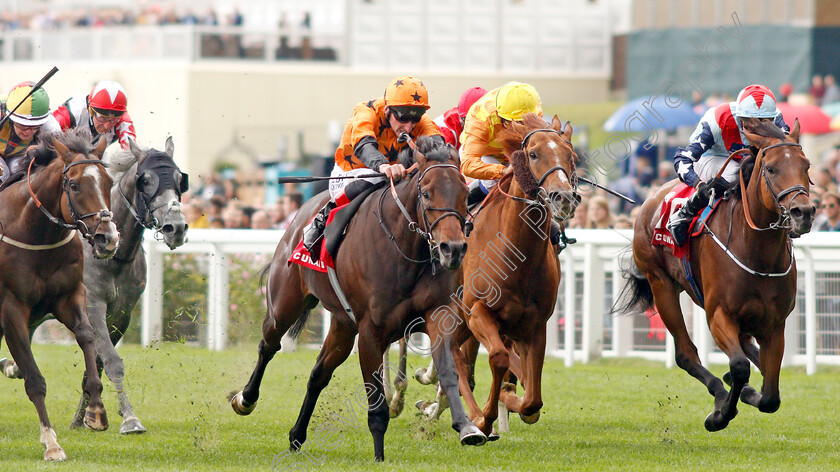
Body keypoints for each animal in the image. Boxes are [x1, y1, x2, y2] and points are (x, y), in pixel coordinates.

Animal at [0, 130, 120, 460]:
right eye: (74, 184)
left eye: (109, 181)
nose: (108, 238)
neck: (34, 232)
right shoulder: (11, 309)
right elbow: (35, 381)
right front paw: (51, 443)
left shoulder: (69, 295)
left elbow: (87, 336)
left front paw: (96, 411)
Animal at [1, 137, 189, 436]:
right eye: (146, 180)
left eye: (180, 179)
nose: (176, 227)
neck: (115, 260)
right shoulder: (93, 305)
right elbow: (112, 361)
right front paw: (130, 419)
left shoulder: (121, 314)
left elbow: (98, 363)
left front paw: (84, 417)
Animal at [231, 136, 486, 460]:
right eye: (427, 193)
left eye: (465, 193)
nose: (452, 249)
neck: (405, 250)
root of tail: (298, 216)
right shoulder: (370, 332)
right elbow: (376, 402)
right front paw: (379, 457)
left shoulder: (438, 316)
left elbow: (450, 373)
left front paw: (467, 427)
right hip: (285, 304)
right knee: (268, 345)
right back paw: (245, 399)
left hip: (343, 325)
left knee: (318, 373)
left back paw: (296, 436)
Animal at [450, 114, 580, 438]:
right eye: (533, 154)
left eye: (571, 155)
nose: (563, 197)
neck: (516, 256)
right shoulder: (478, 311)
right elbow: (498, 357)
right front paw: (484, 417)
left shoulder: (535, 323)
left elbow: (533, 398)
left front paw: (511, 399)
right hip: (453, 313)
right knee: (455, 355)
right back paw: (472, 418)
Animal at [616, 121, 812, 432]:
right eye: (770, 169)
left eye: (806, 165)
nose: (802, 212)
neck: (757, 251)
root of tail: (651, 198)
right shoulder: (719, 313)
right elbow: (740, 367)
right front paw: (720, 414)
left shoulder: (774, 324)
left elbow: (770, 396)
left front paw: (748, 392)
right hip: (662, 285)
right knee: (686, 353)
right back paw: (721, 391)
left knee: (747, 350)